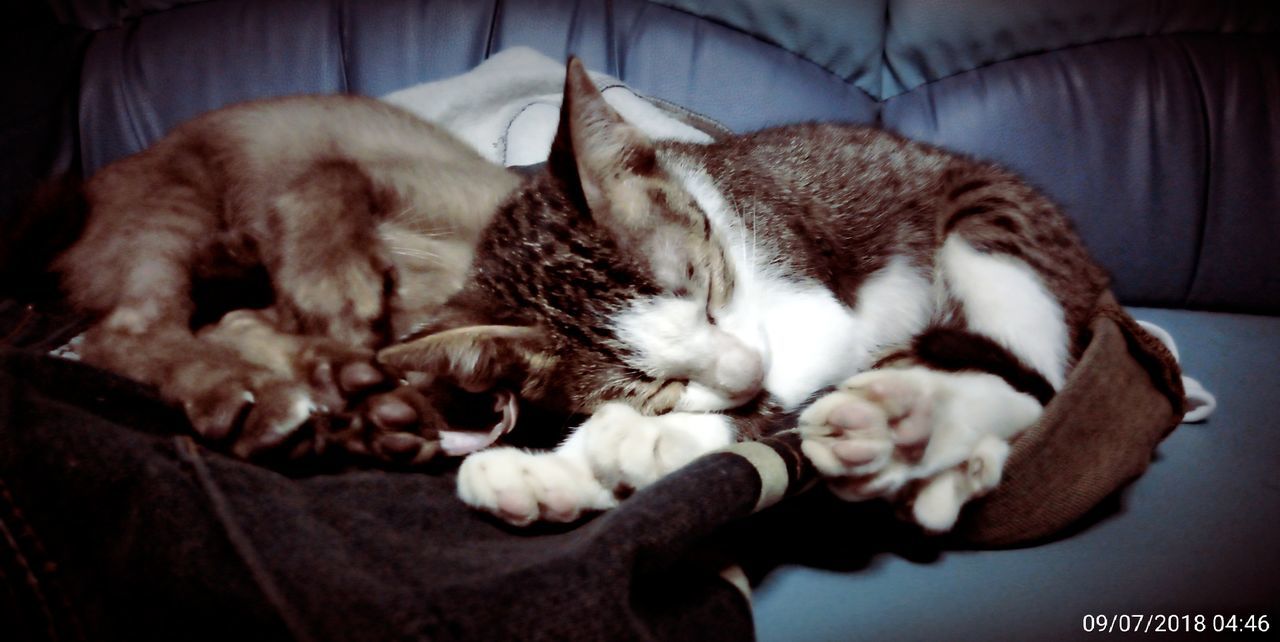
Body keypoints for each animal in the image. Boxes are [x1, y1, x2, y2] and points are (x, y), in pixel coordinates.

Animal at [56, 93, 519, 460]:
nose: (483, 396)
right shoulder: (390, 175)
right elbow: (330, 175)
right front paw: (335, 286)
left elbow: (243, 322)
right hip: (174, 214)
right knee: (128, 333)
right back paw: (254, 394)